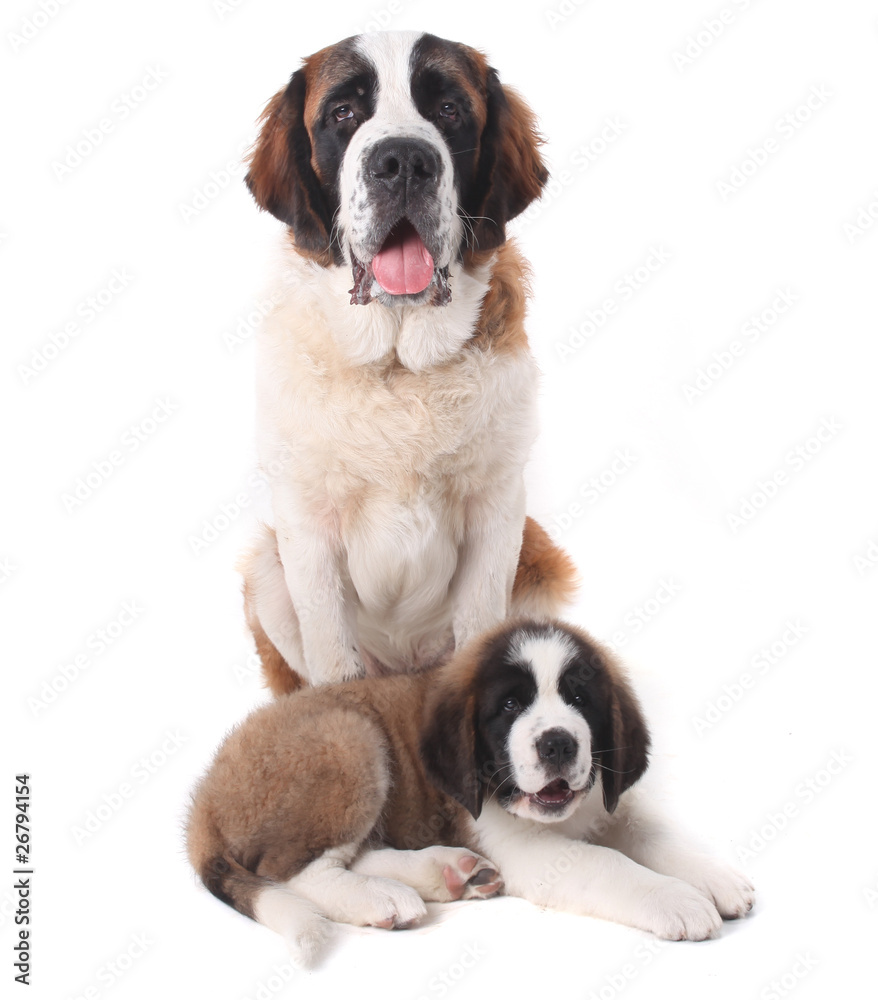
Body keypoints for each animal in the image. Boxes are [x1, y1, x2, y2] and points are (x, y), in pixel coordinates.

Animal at [191, 620, 756, 964]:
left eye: (580, 700)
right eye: (509, 706)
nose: (557, 743)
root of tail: (204, 794)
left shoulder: (608, 802)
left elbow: (655, 834)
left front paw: (713, 877)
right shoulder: (522, 846)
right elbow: (607, 863)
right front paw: (675, 899)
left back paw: (448, 871)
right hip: (349, 737)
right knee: (292, 869)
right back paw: (381, 895)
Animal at [239, 35, 576, 700]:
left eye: (448, 109)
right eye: (343, 113)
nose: (402, 162)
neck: (398, 369)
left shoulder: (498, 510)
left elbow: (481, 625)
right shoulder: (305, 525)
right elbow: (331, 652)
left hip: (540, 561)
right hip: (265, 567)